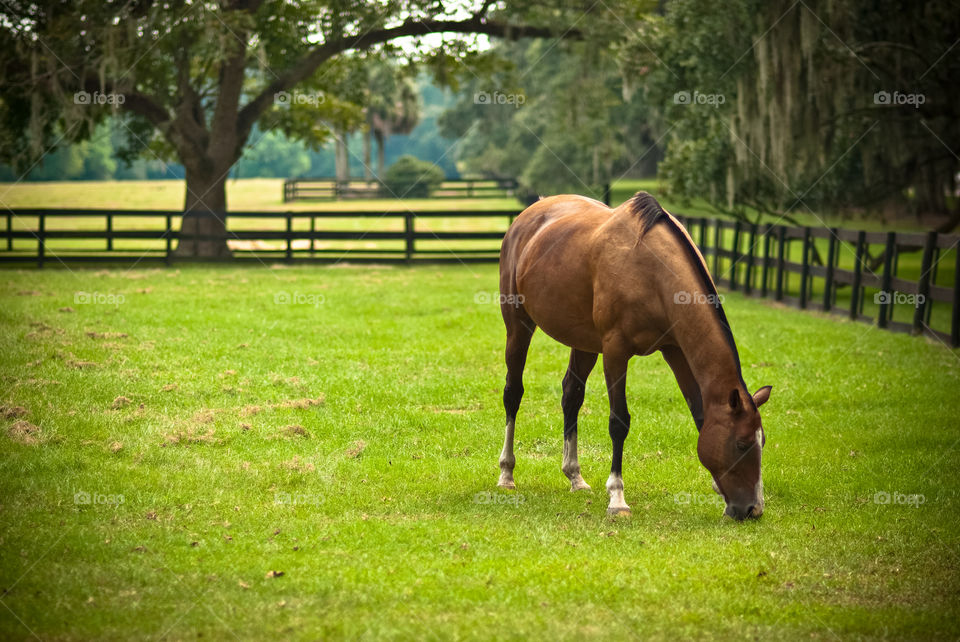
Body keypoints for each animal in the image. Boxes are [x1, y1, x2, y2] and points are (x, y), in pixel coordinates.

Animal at [496, 191, 772, 520]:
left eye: (762, 442)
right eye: (742, 444)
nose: (753, 509)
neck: (652, 271)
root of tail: (531, 212)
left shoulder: (676, 351)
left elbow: (700, 413)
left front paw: (718, 488)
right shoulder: (616, 352)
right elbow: (619, 422)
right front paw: (617, 497)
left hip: (584, 342)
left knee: (571, 395)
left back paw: (575, 476)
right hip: (518, 326)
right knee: (513, 392)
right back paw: (506, 473)